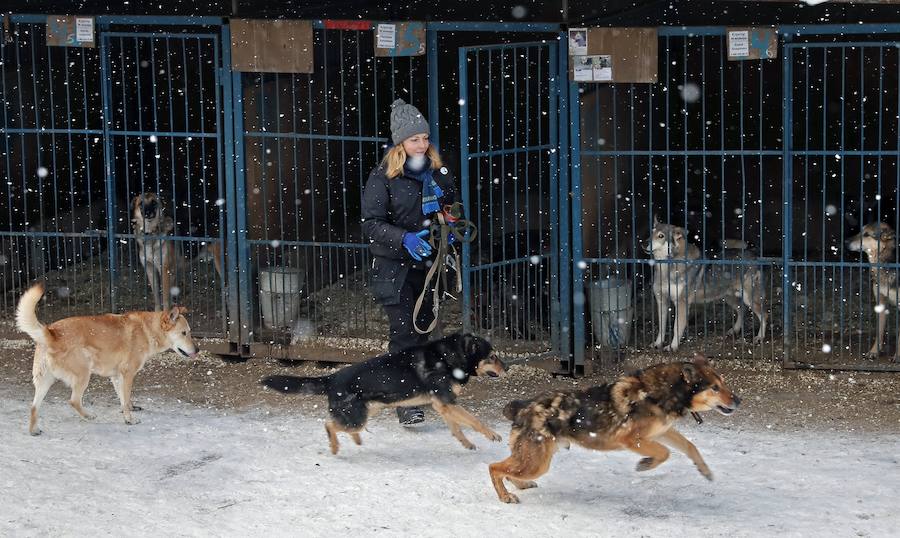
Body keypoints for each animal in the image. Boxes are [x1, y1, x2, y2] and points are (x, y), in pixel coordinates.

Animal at [15, 282, 199, 434]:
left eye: (190, 332)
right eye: (184, 333)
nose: (197, 349)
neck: (148, 330)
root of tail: (51, 333)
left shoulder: (116, 377)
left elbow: (124, 399)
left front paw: (128, 411)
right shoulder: (127, 374)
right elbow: (125, 399)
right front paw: (129, 419)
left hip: (44, 381)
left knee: (33, 407)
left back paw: (34, 430)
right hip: (83, 375)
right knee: (73, 401)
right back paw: (88, 416)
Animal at [260, 332, 506, 454]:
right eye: (492, 356)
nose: (508, 367)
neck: (450, 356)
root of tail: (331, 379)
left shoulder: (443, 404)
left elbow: (457, 428)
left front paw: (466, 444)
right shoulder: (447, 401)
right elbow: (474, 420)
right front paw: (492, 434)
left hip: (369, 411)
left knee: (342, 426)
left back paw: (356, 439)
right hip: (357, 416)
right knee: (329, 425)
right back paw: (335, 446)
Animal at [492, 354, 740, 500]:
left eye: (724, 383)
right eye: (715, 388)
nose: (739, 400)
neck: (664, 392)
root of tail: (523, 407)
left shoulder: (664, 431)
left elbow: (690, 447)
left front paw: (704, 470)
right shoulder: (632, 439)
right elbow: (665, 453)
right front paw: (646, 464)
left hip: (534, 460)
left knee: (508, 470)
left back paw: (520, 486)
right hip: (536, 463)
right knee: (494, 467)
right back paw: (505, 497)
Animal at [848, 222, 896, 360]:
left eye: (867, 235)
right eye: (860, 231)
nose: (845, 241)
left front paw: (897, 357)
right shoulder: (880, 302)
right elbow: (879, 331)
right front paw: (874, 352)